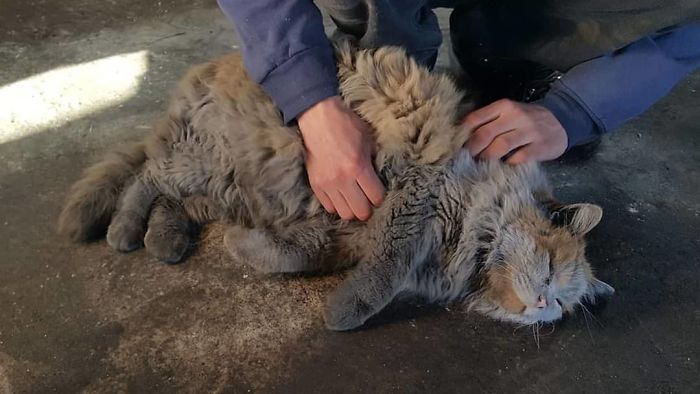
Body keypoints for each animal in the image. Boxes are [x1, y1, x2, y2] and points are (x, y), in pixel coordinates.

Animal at [58, 37, 612, 330]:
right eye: (549, 269)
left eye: (562, 303)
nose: (543, 306)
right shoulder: (413, 191)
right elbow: (383, 272)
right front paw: (345, 313)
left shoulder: (339, 235)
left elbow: (289, 255)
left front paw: (244, 247)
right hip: (204, 160)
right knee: (145, 178)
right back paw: (125, 229)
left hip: (222, 189)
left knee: (173, 202)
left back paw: (163, 238)